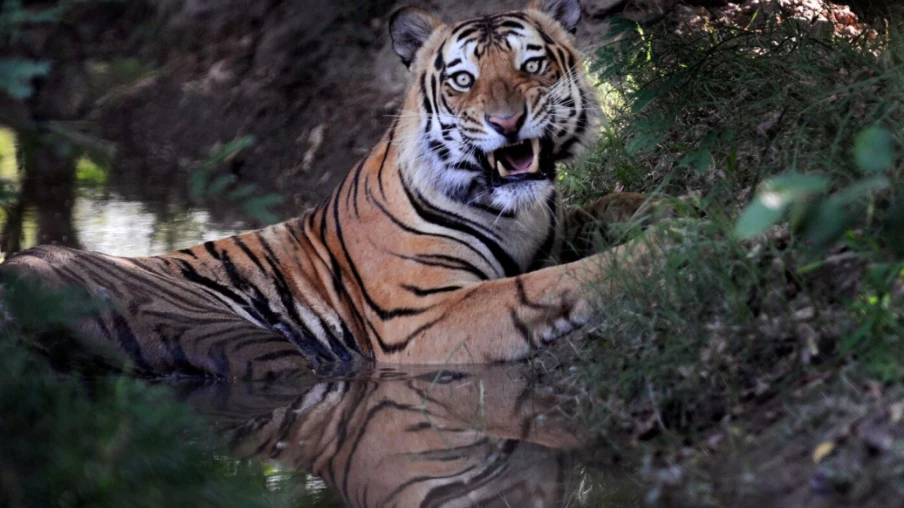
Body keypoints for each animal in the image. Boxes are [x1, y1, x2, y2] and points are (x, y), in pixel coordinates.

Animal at [0, 0, 659, 380]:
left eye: (532, 66)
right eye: (463, 80)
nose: (507, 123)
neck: (513, 212)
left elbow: (606, 206)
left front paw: (663, 208)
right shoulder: (426, 319)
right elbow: (553, 283)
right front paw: (651, 252)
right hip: (243, 342)